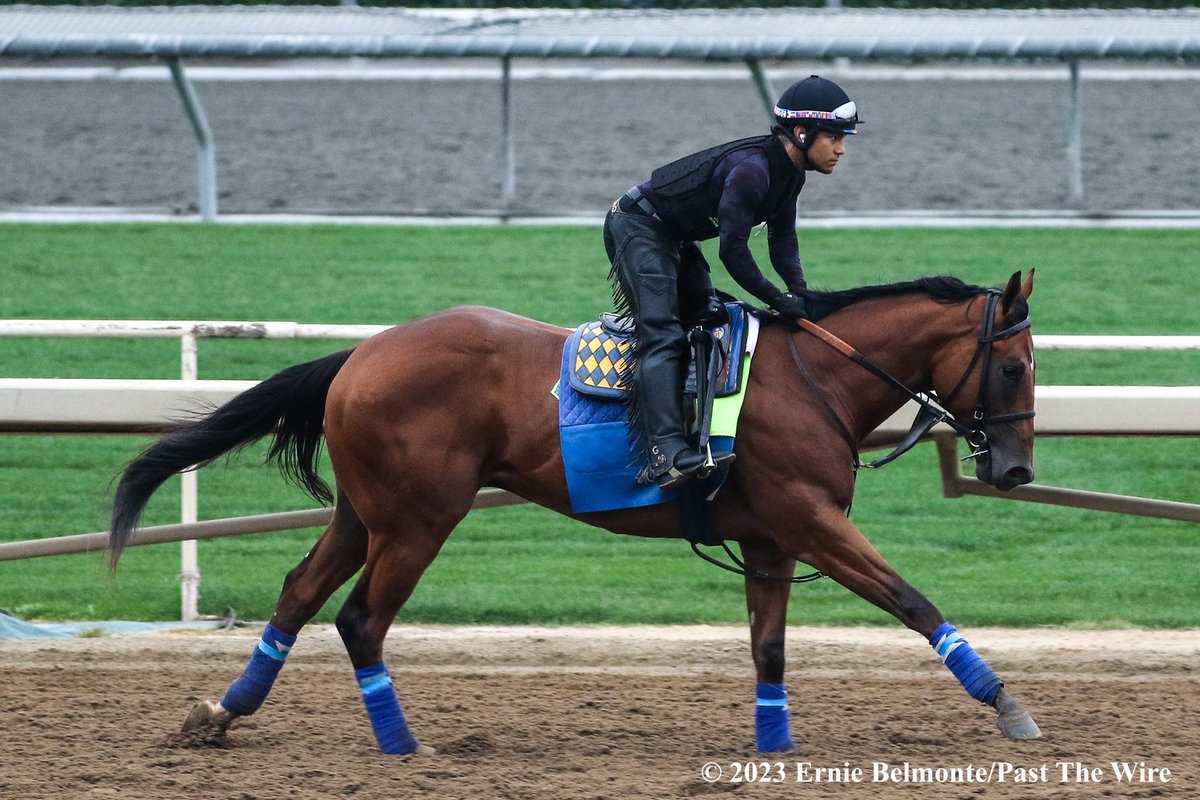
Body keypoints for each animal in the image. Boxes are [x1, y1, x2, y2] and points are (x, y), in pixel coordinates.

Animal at [105, 272, 1041, 753]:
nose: (1017, 469)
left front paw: (774, 748)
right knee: (360, 619)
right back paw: (403, 744)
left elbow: (768, 648)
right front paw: (1007, 706)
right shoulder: (811, 520)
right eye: (1011, 367)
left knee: (300, 593)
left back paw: (224, 711)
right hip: (417, 521)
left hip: (364, 513)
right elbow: (911, 599)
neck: (818, 381)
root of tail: (361, 354)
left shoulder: (771, 538)